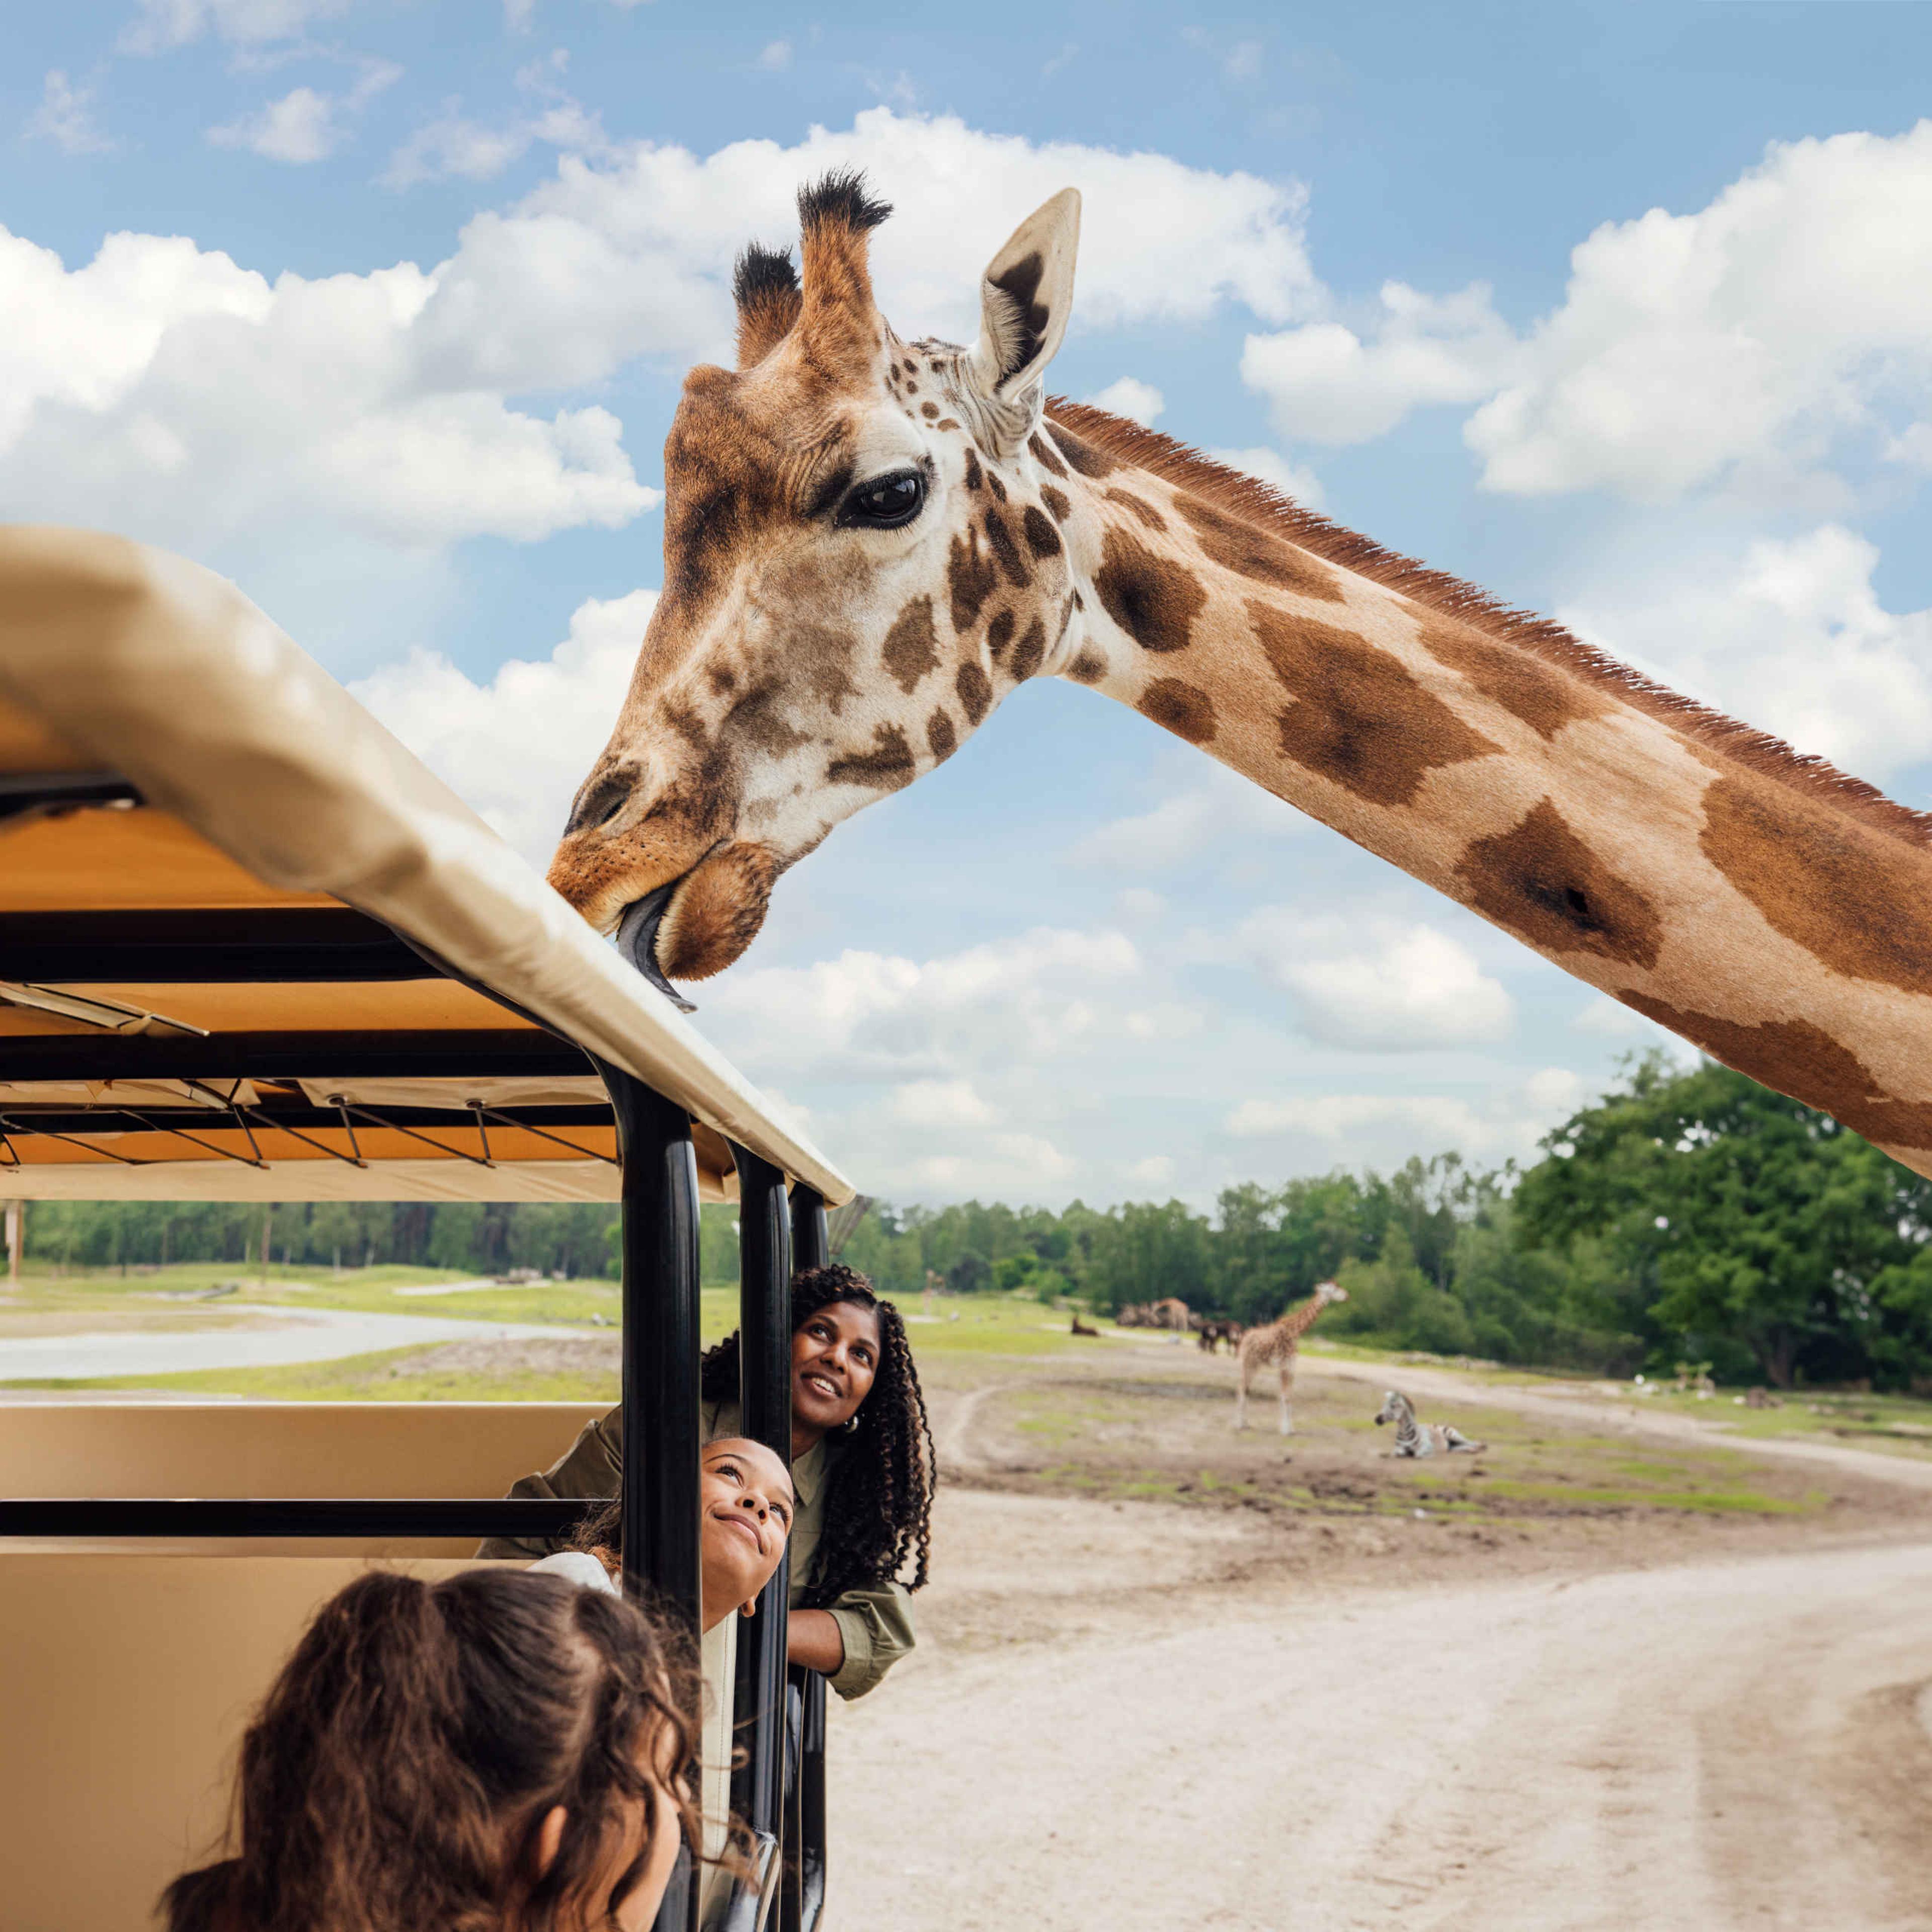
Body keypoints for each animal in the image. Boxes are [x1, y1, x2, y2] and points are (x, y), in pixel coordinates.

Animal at [1234, 1281, 1348, 1434]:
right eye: (1334, 1289)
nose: (1347, 1296)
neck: (1296, 1331)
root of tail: (1245, 1337)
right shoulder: (1284, 1365)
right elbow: (1285, 1396)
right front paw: (1286, 1431)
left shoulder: (1292, 1365)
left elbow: (1289, 1395)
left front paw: (1290, 1429)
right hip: (1247, 1362)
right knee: (1242, 1388)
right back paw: (1239, 1424)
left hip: (1256, 1365)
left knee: (1246, 1389)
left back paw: (1246, 1423)